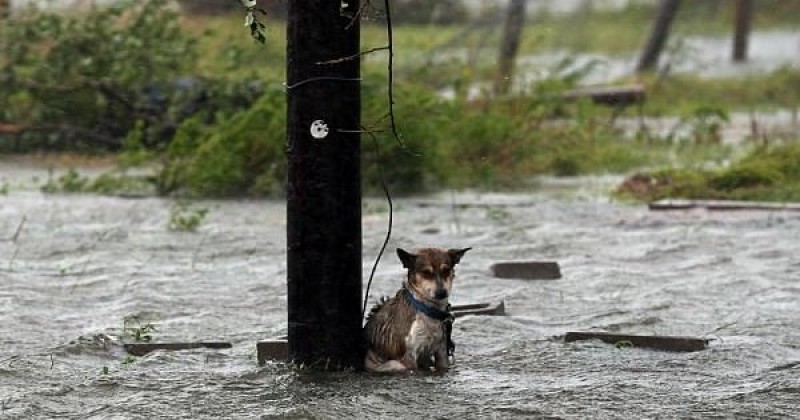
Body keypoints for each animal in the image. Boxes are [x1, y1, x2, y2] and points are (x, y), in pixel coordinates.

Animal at [362, 246, 468, 374]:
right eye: (426, 273)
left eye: (446, 270)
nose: (442, 293)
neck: (426, 309)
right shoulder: (409, 357)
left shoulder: (442, 350)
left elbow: (443, 366)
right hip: (393, 364)